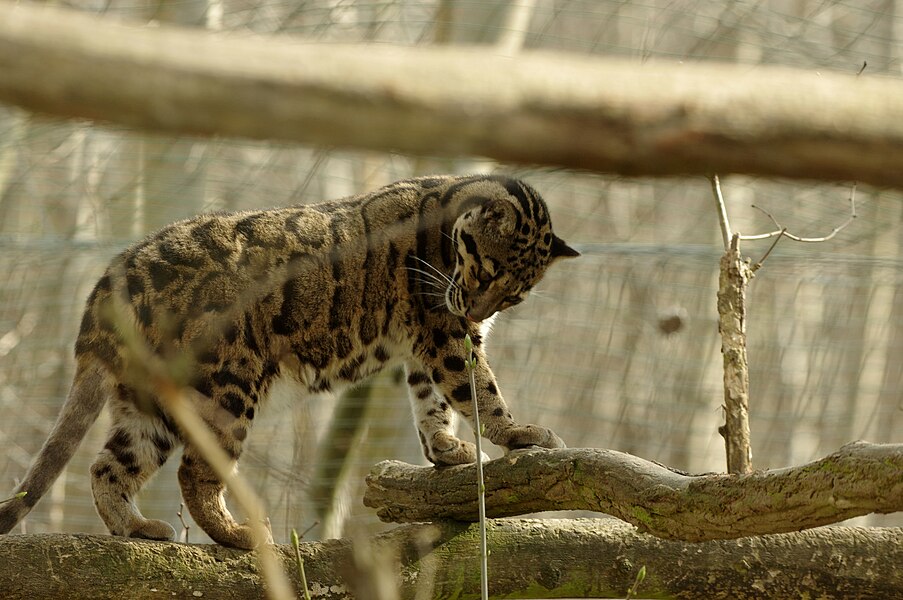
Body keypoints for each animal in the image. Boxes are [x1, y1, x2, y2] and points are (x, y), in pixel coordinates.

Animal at [0, 173, 580, 548]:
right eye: (488, 271)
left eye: (514, 295)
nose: (476, 308)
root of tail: (116, 272)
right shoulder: (445, 335)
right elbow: (477, 391)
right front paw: (518, 433)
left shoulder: (426, 345)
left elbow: (432, 402)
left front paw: (446, 450)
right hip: (226, 388)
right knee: (194, 473)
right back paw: (238, 535)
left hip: (150, 403)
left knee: (108, 465)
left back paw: (136, 529)